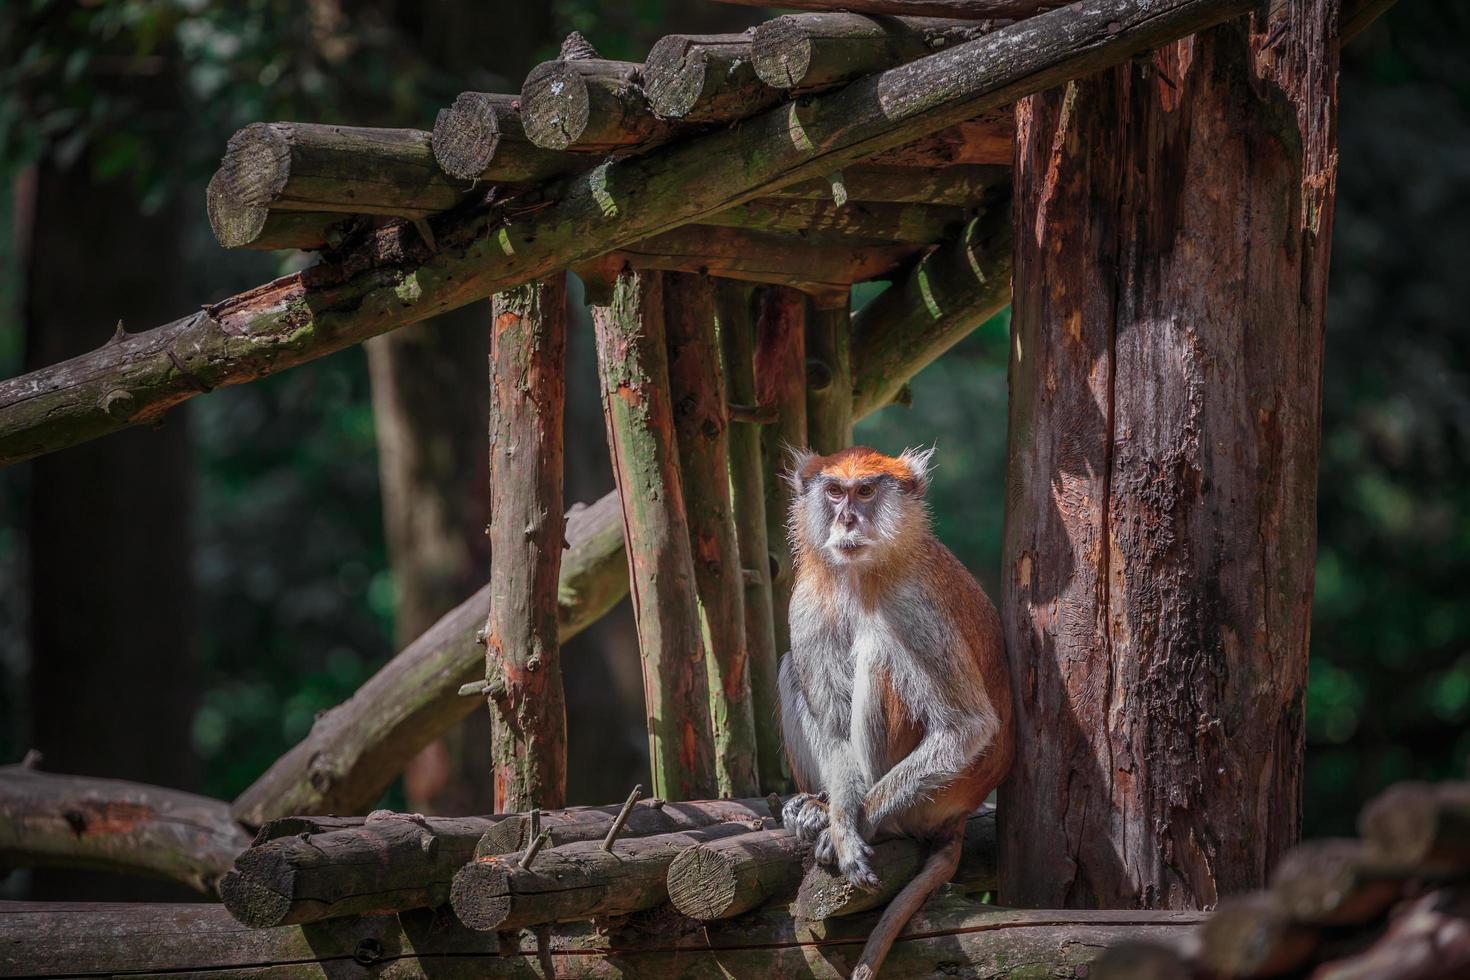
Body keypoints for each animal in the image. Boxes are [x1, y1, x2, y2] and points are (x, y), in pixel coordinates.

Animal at [782, 446, 1011, 980]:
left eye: (866, 491)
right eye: (834, 491)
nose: (847, 519)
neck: (863, 569)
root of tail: (961, 811)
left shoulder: (913, 606)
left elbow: (968, 727)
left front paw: (850, 830)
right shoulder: (806, 601)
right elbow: (833, 730)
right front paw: (838, 819)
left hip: (929, 801)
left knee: (879, 651)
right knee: (792, 666)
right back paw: (816, 805)